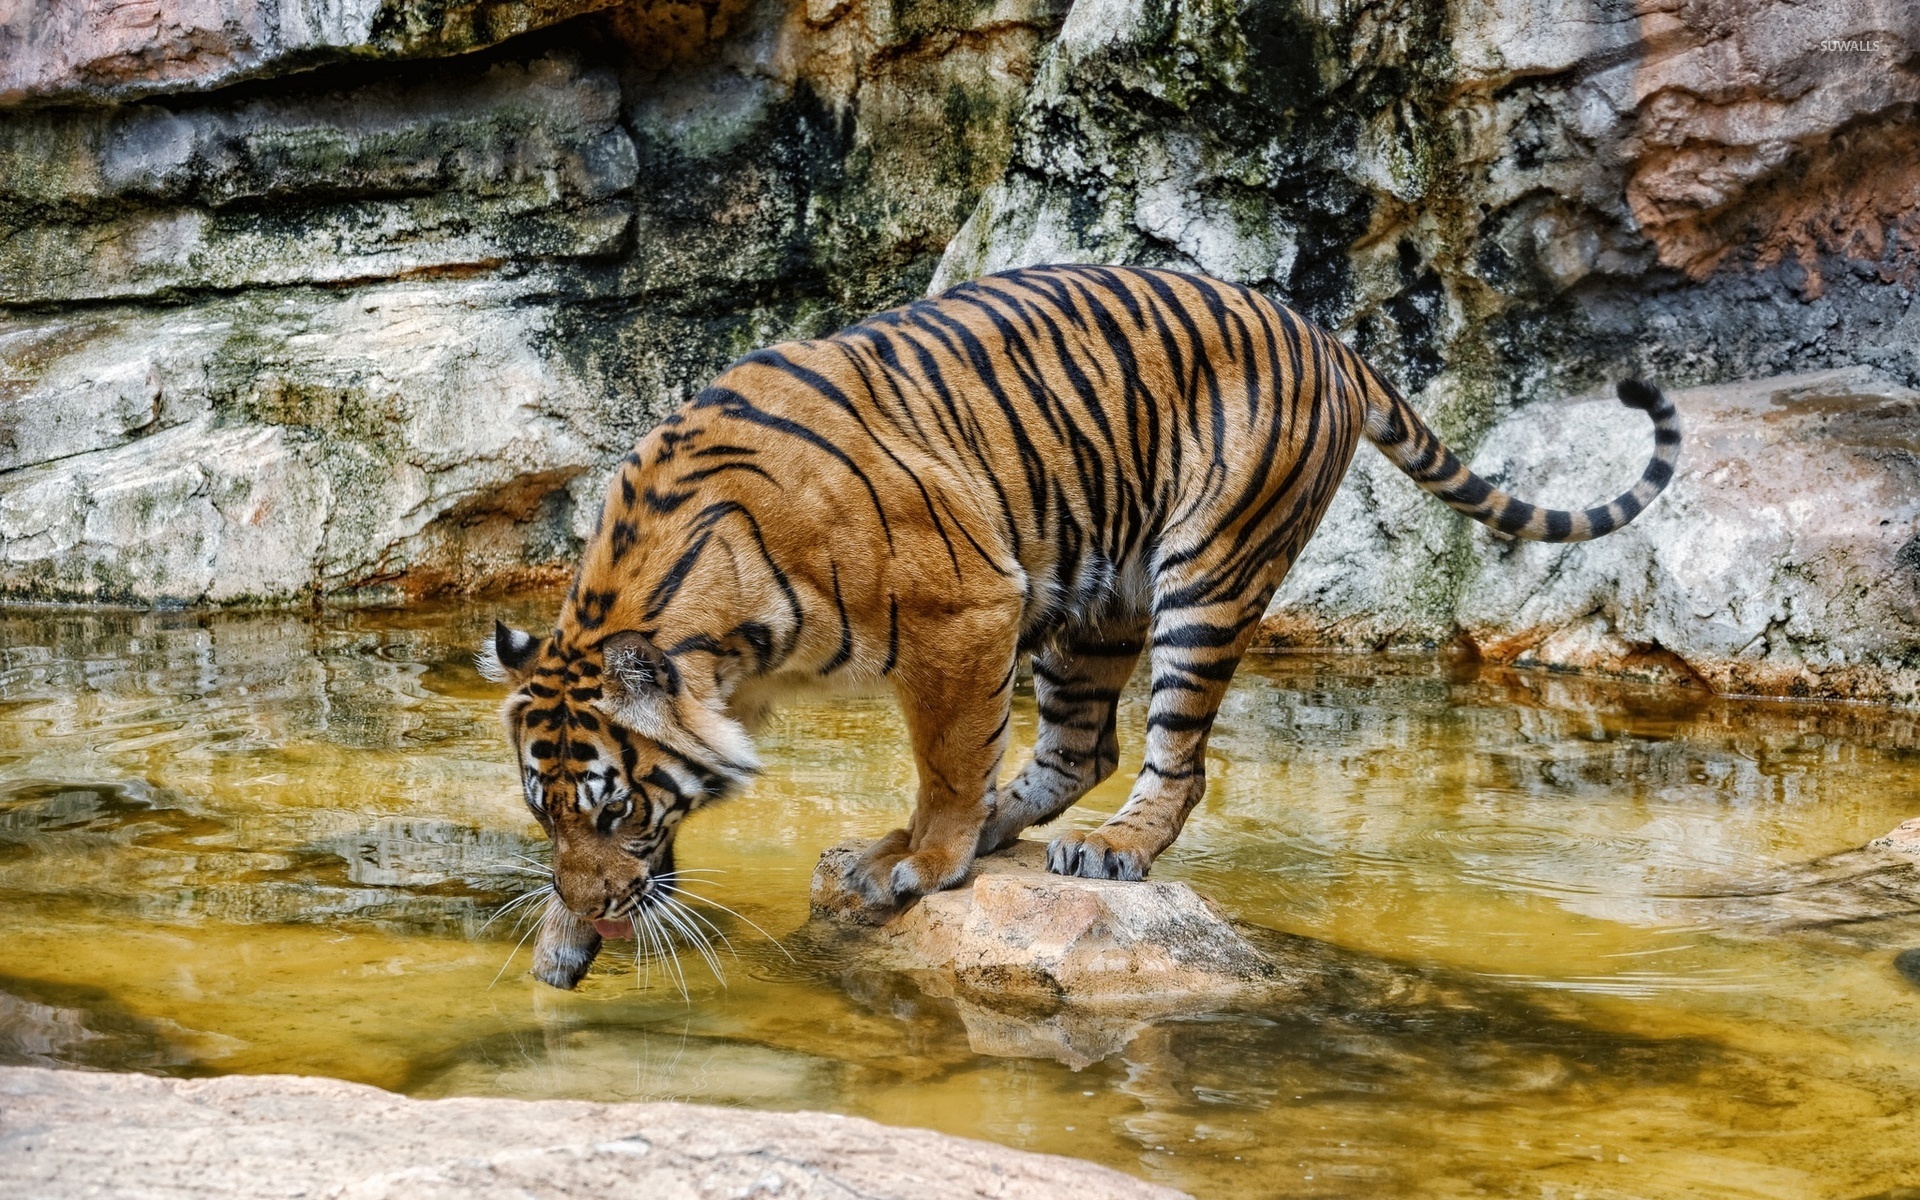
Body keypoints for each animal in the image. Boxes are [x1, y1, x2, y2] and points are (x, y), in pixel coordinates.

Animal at [484, 263, 1679, 955]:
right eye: (547, 816)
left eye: (615, 810)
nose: (592, 909)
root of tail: (1326, 332)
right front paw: (565, 934)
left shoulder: (965, 609)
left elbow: (948, 756)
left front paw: (924, 862)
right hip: (1094, 597)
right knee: (1079, 747)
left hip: (1210, 569)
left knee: (1172, 758)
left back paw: (1111, 851)